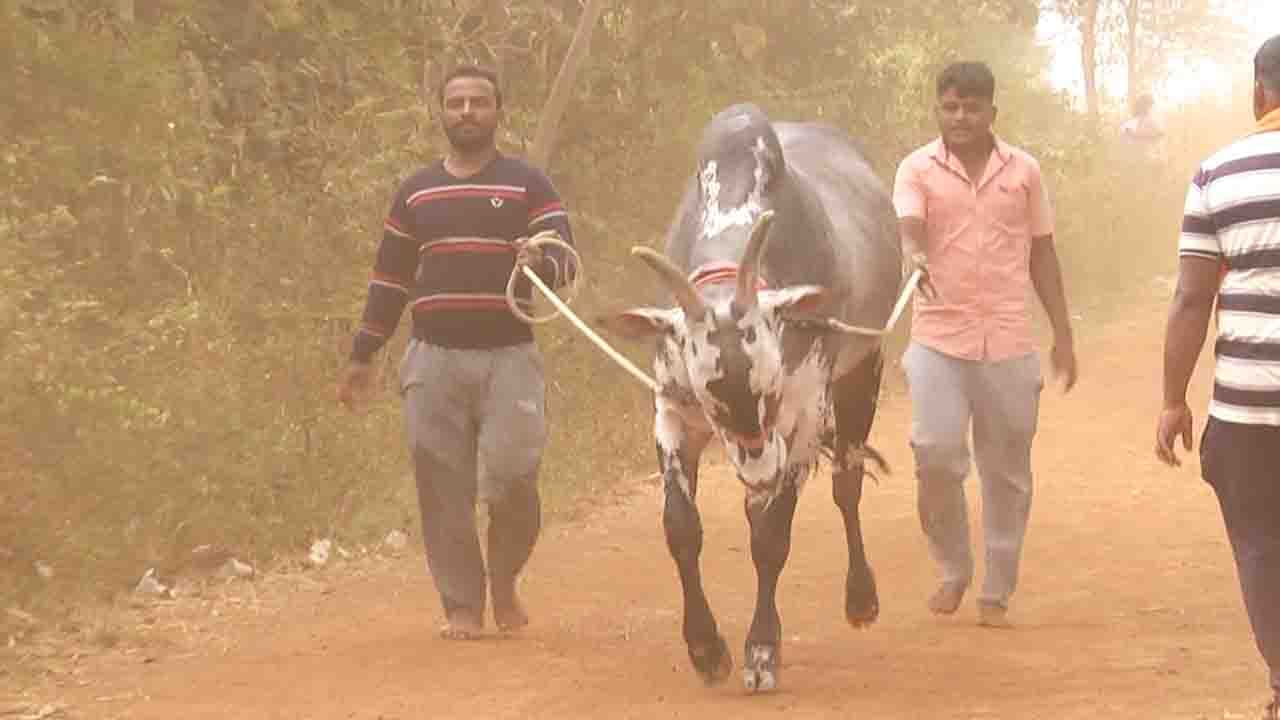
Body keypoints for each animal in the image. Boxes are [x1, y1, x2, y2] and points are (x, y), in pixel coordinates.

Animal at [606, 102, 901, 691]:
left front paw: (762, 649)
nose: (762, 470)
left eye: (772, 383)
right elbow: (681, 528)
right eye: (709, 394)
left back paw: (861, 597)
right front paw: (704, 647)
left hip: (863, 373)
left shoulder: (803, 420)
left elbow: (772, 538)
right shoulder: (673, 412)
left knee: (847, 486)